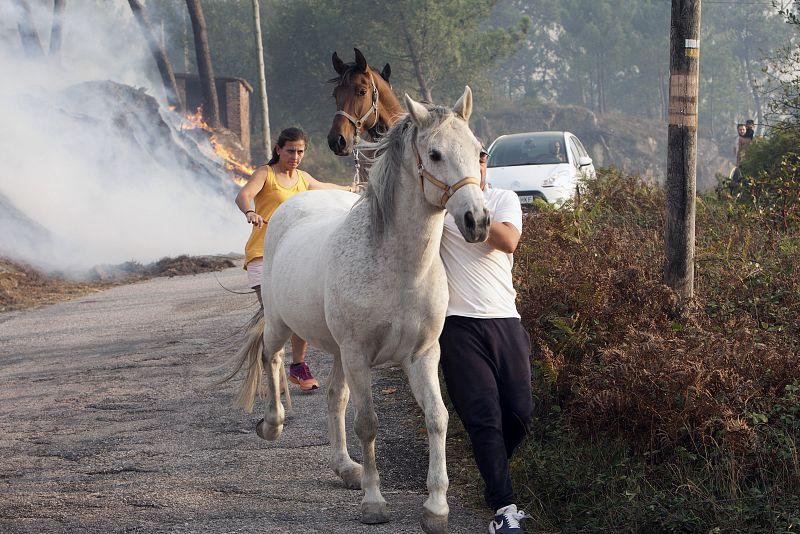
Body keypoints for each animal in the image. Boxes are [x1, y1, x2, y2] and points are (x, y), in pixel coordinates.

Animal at [230, 86, 488, 532]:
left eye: (478, 152)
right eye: (435, 153)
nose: (478, 220)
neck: (398, 269)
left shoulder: (421, 355)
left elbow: (436, 418)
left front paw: (436, 507)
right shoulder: (358, 355)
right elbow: (367, 424)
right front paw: (374, 502)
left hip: (337, 352)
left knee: (335, 398)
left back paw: (345, 467)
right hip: (285, 328)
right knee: (272, 359)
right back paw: (272, 425)